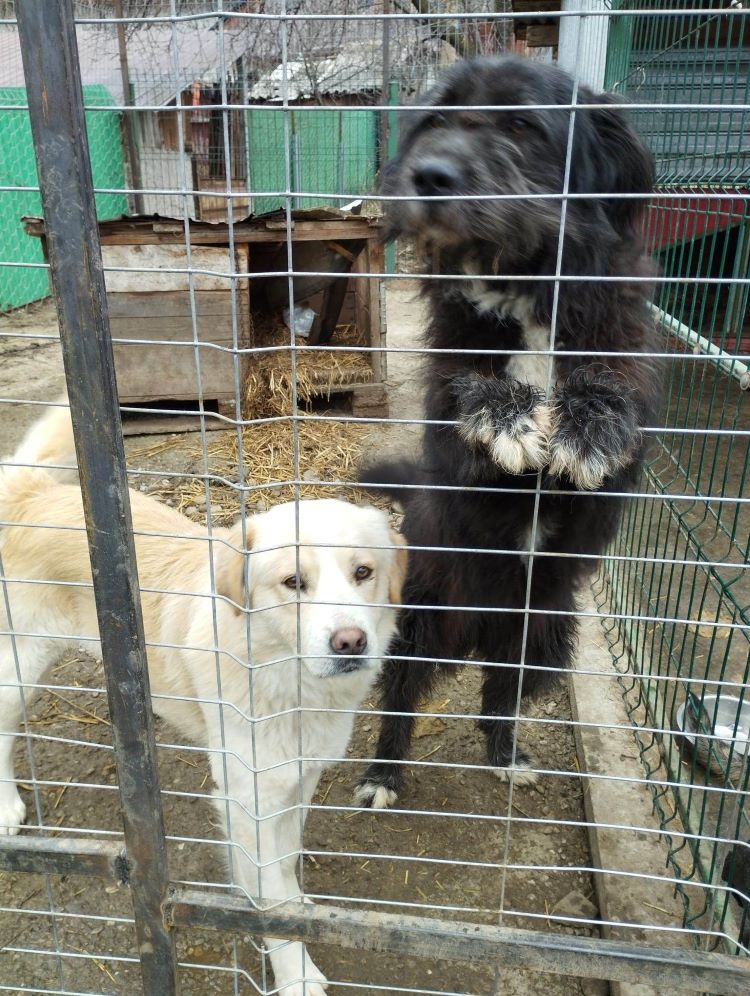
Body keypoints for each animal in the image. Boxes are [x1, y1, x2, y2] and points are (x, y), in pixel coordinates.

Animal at [0, 400, 408, 992]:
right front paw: (296, 971)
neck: (286, 681)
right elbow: (269, 896)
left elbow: (285, 866)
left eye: (363, 572)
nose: (352, 642)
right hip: (21, 667)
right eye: (293, 582)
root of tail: (32, 492)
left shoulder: (298, 780)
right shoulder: (247, 798)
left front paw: (296, 908)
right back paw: (7, 804)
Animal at [356, 54, 660, 804]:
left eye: (521, 125)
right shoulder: (445, 418)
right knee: (400, 697)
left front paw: (587, 426)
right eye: (433, 119)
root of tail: (483, 629)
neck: (521, 282)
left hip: (543, 640)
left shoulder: (631, 371)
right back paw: (382, 772)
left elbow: (616, 394)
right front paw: (510, 414)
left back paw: (506, 754)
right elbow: (469, 390)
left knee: (498, 697)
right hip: (422, 621)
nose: (429, 175)